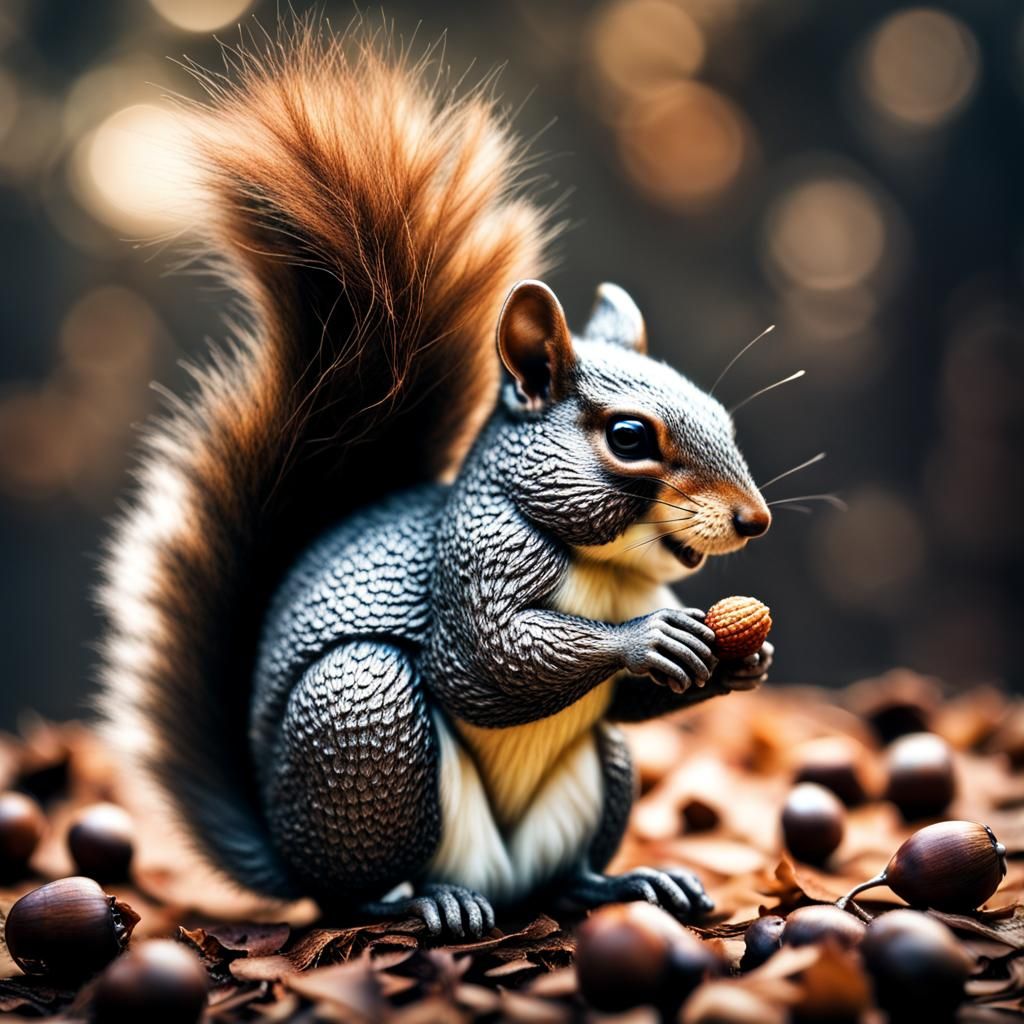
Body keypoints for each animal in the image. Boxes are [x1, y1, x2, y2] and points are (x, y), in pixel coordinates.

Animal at [100, 25, 773, 938]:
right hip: (368, 722)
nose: (754, 519)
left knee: (561, 880)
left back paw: (624, 884)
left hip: (598, 778)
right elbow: (488, 660)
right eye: (630, 438)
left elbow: (625, 702)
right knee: (354, 891)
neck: (603, 570)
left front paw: (744, 661)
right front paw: (646, 641)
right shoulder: (472, 561)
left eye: (721, 415)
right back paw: (427, 900)